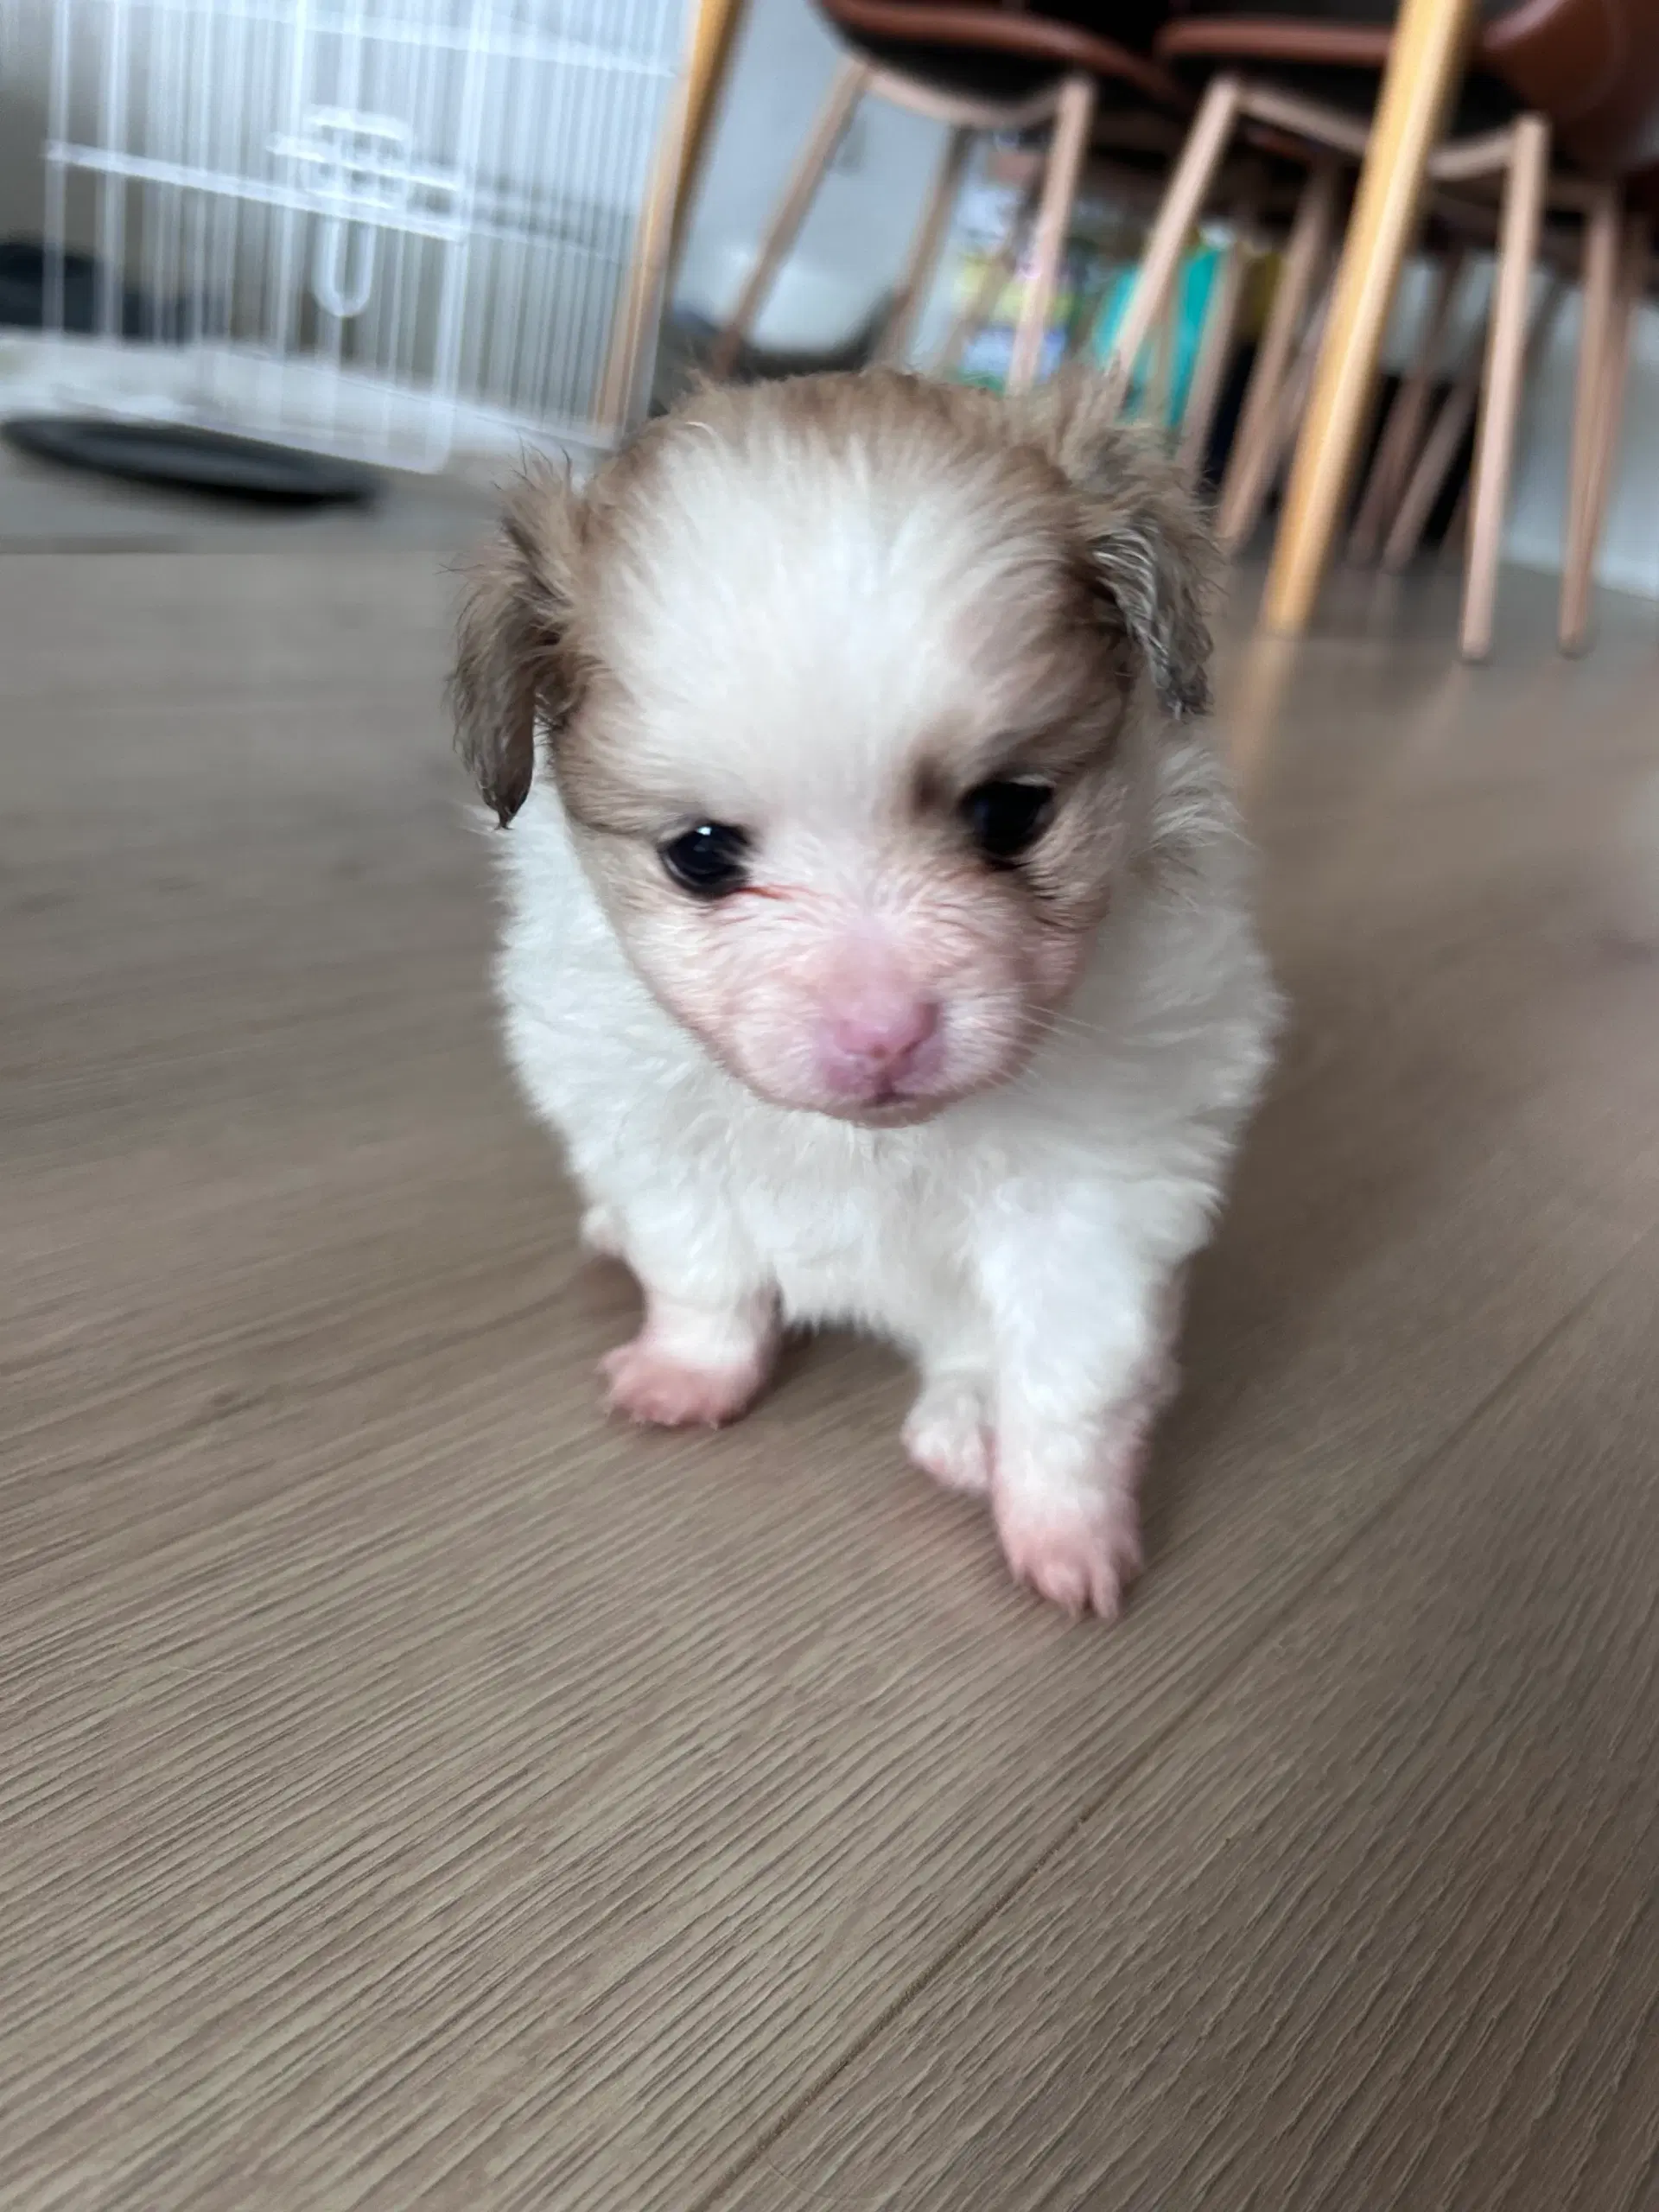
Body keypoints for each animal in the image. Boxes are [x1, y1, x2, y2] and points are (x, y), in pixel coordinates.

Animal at [448, 372, 1282, 1618]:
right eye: (701, 855)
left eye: (1010, 812)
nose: (883, 1034)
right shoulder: (655, 1139)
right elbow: (701, 1269)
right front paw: (690, 1373)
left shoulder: (1097, 1203)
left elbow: (1070, 1378)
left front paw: (1065, 1525)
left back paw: (962, 1426)